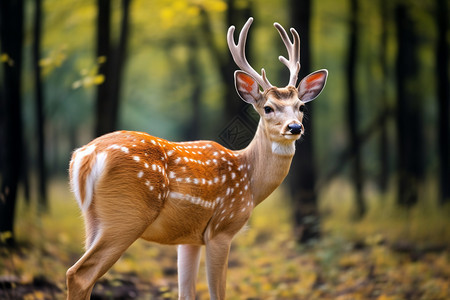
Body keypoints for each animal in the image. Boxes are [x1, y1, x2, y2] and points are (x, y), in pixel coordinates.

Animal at [66, 17, 326, 298]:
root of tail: (85, 156)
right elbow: (217, 292)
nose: (294, 127)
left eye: (301, 106)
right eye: (268, 108)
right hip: (126, 215)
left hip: (93, 218)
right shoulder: (221, 229)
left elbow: (186, 292)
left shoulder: (189, 239)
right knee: (79, 274)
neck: (249, 180)